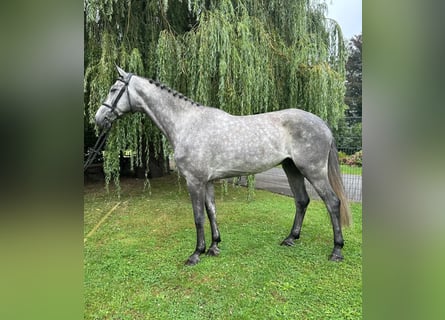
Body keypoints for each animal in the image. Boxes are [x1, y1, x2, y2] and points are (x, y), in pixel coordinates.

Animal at [95, 66, 352, 266]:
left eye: (114, 90)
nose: (98, 119)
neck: (187, 123)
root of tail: (323, 124)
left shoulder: (194, 181)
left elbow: (198, 216)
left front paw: (196, 254)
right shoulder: (207, 181)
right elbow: (211, 211)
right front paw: (214, 247)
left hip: (313, 171)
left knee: (332, 202)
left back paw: (336, 251)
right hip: (292, 169)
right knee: (302, 201)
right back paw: (290, 239)